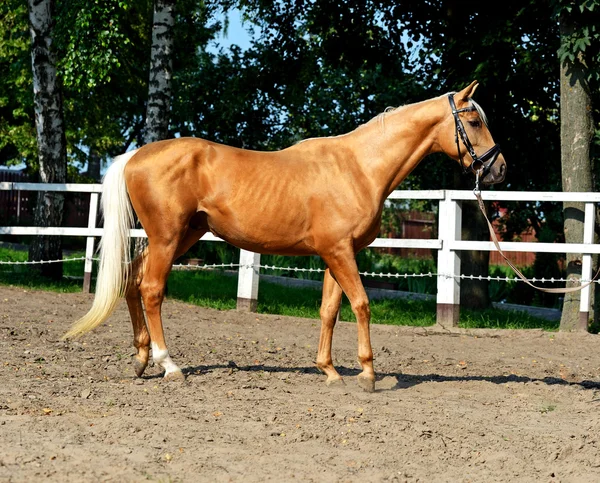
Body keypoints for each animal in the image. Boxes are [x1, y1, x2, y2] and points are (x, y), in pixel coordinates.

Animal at [65, 82, 506, 394]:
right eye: (474, 121)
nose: (499, 169)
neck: (359, 168)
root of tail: (135, 156)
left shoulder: (334, 254)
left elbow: (330, 310)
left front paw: (329, 371)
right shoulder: (340, 252)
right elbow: (362, 305)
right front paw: (367, 373)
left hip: (183, 236)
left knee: (132, 281)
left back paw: (142, 360)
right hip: (167, 238)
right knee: (152, 289)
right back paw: (169, 365)